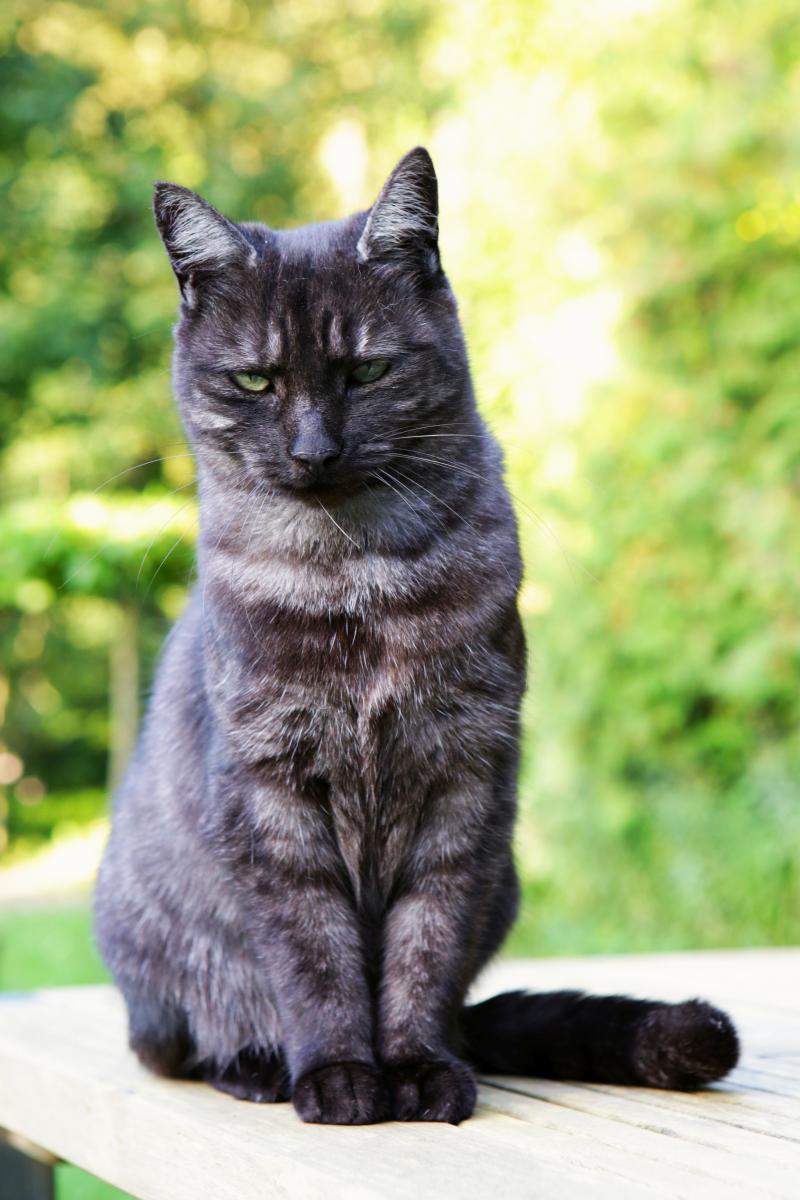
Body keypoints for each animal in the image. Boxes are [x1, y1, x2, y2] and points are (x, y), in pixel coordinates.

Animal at [92, 147, 738, 1123]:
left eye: (366, 372)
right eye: (255, 380)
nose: (313, 450)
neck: (360, 582)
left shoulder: (463, 783)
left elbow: (424, 949)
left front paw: (418, 1069)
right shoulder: (272, 798)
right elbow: (313, 955)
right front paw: (338, 1076)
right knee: (176, 1042)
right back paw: (257, 1064)